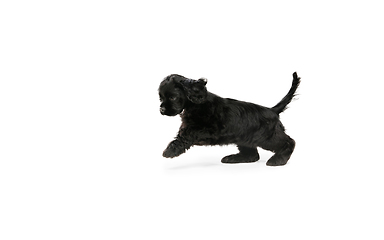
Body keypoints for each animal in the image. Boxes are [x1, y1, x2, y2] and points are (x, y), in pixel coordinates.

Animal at [158, 73, 300, 166]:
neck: (195, 103)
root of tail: (272, 110)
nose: (162, 110)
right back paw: (233, 158)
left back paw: (278, 160)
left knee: (289, 142)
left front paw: (170, 151)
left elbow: (186, 135)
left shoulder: (206, 129)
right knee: (252, 154)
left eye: (172, 97)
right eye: (161, 98)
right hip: (244, 138)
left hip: (266, 136)